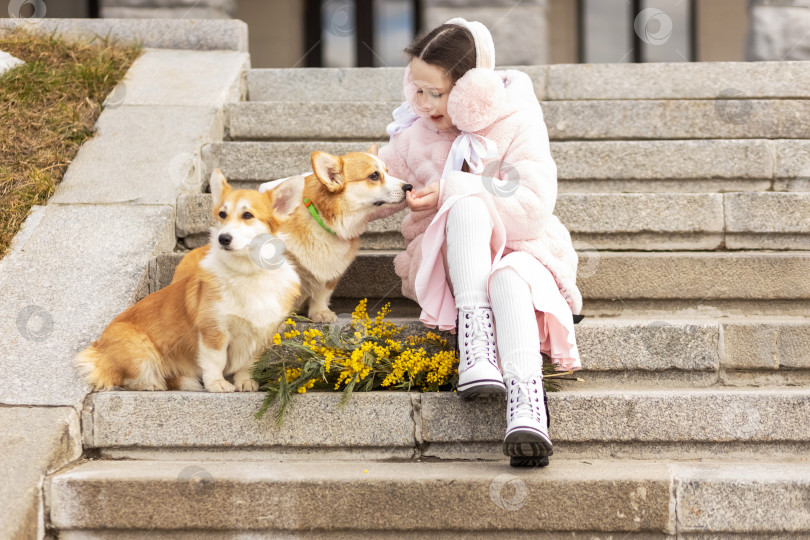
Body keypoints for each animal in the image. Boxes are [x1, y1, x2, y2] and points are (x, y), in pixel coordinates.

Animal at [74, 172, 304, 392]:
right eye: (222, 214)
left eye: (247, 215)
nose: (223, 238)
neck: (247, 272)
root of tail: (96, 348)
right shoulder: (213, 330)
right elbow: (216, 361)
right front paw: (217, 384)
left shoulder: (262, 333)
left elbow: (248, 364)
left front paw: (245, 382)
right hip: (140, 350)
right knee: (121, 377)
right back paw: (151, 383)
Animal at [172, 141, 410, 322]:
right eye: (374, 176)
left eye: (388, 172)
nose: (409, 187)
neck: (322, 219)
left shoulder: (332, 272)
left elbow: (322, 292)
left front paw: (320, 313)